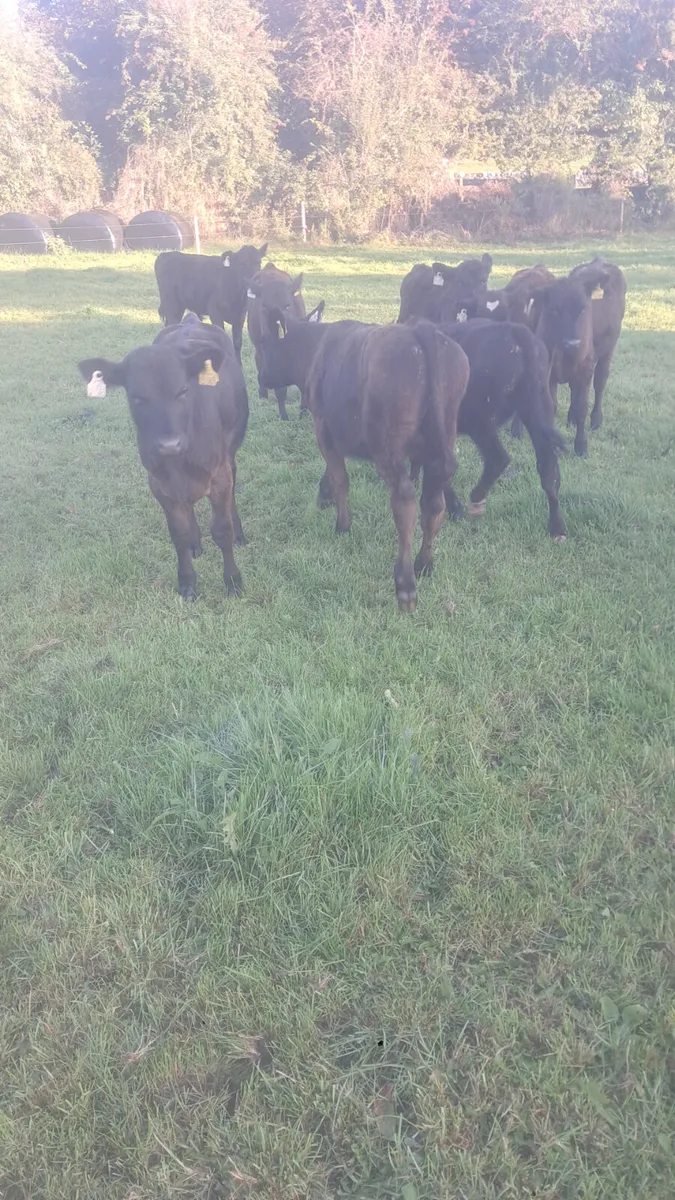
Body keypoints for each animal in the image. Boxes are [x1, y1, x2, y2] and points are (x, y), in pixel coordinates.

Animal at [78, 315, 249, 600]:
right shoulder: (159, 484)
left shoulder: (220, 475)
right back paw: (195, 543)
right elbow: (178, 534)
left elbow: (222, 530)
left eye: (183, 391)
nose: (170, 444)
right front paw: (187, 582)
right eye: (137, 398)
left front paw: (233, 582)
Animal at [303, 320, 470, 611]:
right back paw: (424, 563)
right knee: (434, 504)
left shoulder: (323, 427)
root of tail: (420, 330)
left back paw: (405, 583)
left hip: (386, 447)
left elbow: (340, 478)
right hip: (444, 435)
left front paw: (342, 523)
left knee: (404, 502)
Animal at [410, 320, 567, 541]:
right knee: (549, 469)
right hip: (537, 410)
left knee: (498, 458)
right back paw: (557, 527)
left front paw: (453, 507)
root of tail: (517, 333)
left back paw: (476, 500)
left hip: (480, 421)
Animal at [512, 258, 627, 456]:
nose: (573, 343)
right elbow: (551, 406)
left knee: (600, 383)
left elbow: (582, 407)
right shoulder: (548, 375)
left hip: (607, 352)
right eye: (554, 310)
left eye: (583, 309)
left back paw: (596, 420)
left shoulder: (586, 370)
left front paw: (581, 446)